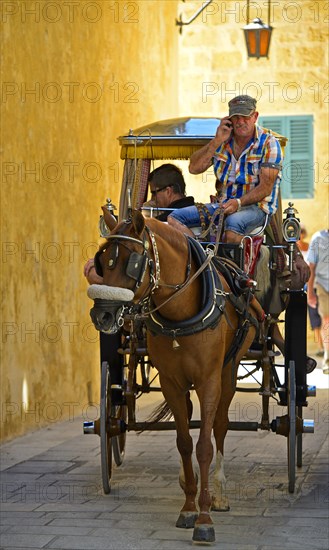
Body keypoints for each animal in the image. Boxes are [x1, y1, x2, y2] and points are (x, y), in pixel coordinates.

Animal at [87, 209, 262, 544]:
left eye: (132, 261)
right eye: (102, 261)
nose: (102, 314)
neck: (182, 314)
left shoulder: (209, 381)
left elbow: (205, 445)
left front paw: (204, 518)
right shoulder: (171, 382)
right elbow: (183, 442)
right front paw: (189, 507)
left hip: (230, 371)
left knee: (220, 426)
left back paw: (219, 492)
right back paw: (187, 479)